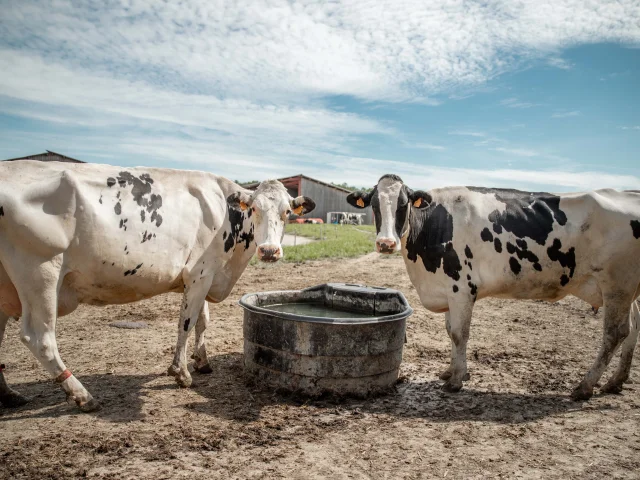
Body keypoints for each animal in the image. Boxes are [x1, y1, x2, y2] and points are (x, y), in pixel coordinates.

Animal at [0, 160, 315, 412]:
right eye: (255, 209)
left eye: (287, 212)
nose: (270, 251)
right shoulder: (200, 273)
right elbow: (187, 322)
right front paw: (181, 372)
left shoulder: (204, 276)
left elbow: (203, 321)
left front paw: (202, 361)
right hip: (41, 272)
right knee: (39, 338)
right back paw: (82, 395)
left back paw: (9, 394)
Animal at [347, 174, 640, 400]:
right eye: (373, 204)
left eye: (403, 204)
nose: (386, 243)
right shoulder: (447, 289)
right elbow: (449, 331)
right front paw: (451, 370)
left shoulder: (462, 289)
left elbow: (459, 334)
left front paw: (455, 380)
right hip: (628, 290)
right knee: (633, 328)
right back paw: (616, 381)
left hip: (617, 285)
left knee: (615, 333)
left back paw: (585, 386)